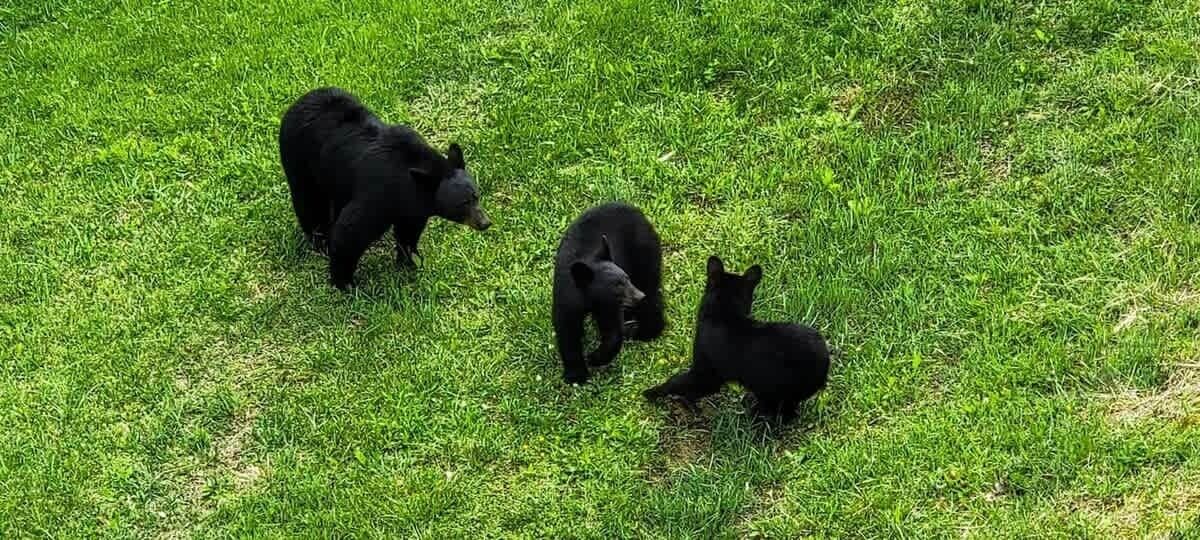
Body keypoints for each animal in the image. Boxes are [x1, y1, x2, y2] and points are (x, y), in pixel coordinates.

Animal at [278, 87, 490, 290]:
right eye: (462, 203)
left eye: (476, 196)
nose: (485, 222)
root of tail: (299, 101)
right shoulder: (377, 194)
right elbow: (350, 232)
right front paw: (344, 283)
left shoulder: (412, 207)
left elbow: (408, 232)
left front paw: (410, 261)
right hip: (300, 160)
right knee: (310, 202)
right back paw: (319, 241)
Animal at [553, 203, 665, 384]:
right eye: (617, 286)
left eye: (627, 279)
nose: (638, 296)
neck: (590, 300)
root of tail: (635, 210)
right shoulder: (566, 297)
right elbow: (567, 330)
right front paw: (576, 375)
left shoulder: (609, 306)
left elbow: (613, 330)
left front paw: (595, 358)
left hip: (643, 251)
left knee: (650, 289)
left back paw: (644, 330)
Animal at [643, 256, 830, 423]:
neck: (725, 312)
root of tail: (826, 361)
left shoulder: (706, 373)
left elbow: (678, 382)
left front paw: (653, 392)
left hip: (777, 389)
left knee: (783, 412)